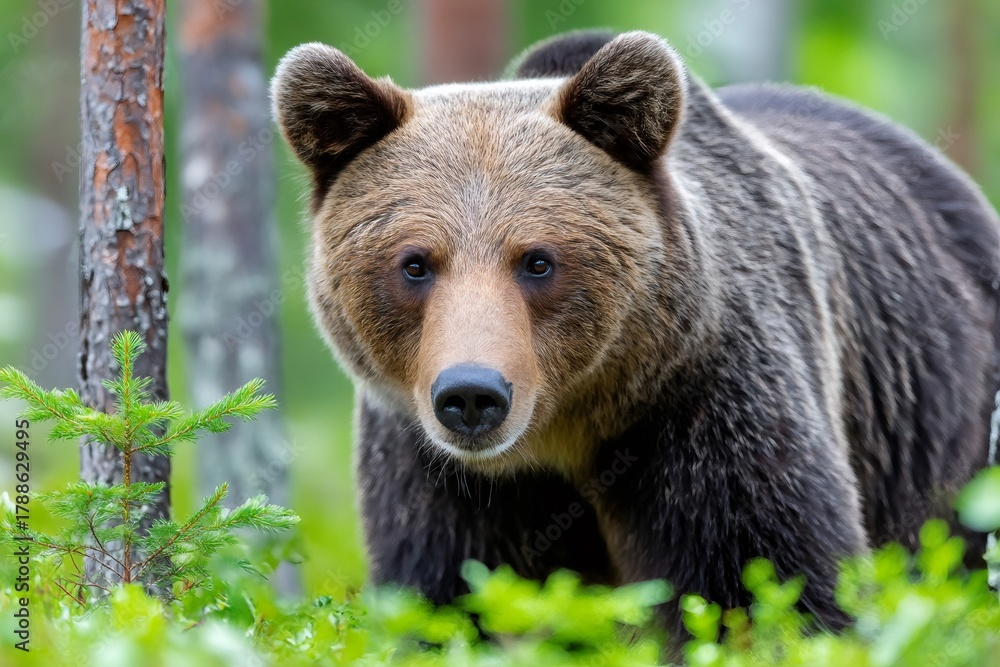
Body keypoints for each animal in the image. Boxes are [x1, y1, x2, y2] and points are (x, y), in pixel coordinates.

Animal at [270, 30, 1000, 634]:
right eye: (415, 263)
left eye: (538, 260)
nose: (473, 394)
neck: (564, 431)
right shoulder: (431, 465)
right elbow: (444, 595)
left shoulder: (705, 404)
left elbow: (766, 581)